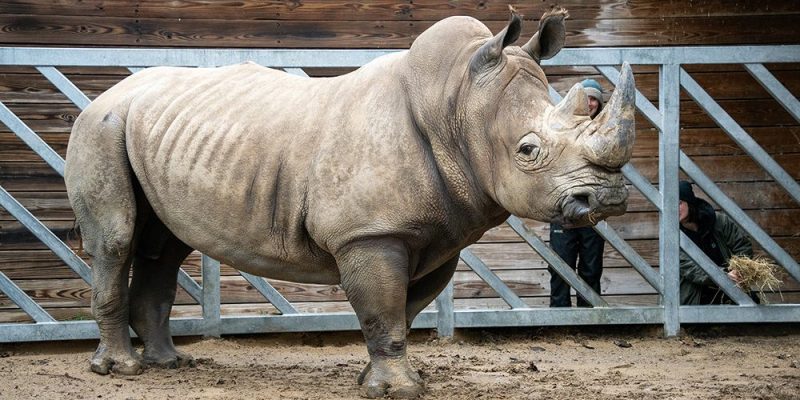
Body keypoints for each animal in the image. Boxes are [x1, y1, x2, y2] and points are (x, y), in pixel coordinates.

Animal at [64, 7, 635, 398]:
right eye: (527, 150)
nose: (607, 198)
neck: (457, 104)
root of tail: (103, 97)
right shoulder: (369, 232)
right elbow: (383, 309)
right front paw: (400, 390)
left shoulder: (438, 236)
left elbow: (404, 309)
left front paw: (375, 379)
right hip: (101, 127)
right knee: (115, 240)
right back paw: (123, 370)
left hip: (148, 129)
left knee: (164, 247)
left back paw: (170, 365)